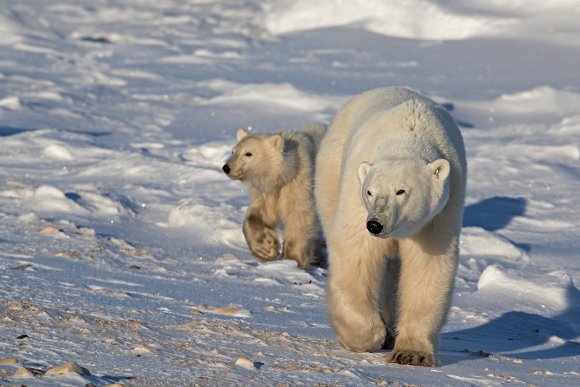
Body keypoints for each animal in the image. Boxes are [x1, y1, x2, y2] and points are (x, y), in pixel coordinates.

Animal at [318, 87, 466, 366]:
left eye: (401, 191)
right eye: (370, 191)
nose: (375, 224)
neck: (407, 138)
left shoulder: (438, 215)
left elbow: (426, 267)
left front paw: (412, 353)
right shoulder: (357, 202)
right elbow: (357, 255)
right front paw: (363, 336)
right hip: (332, 170)